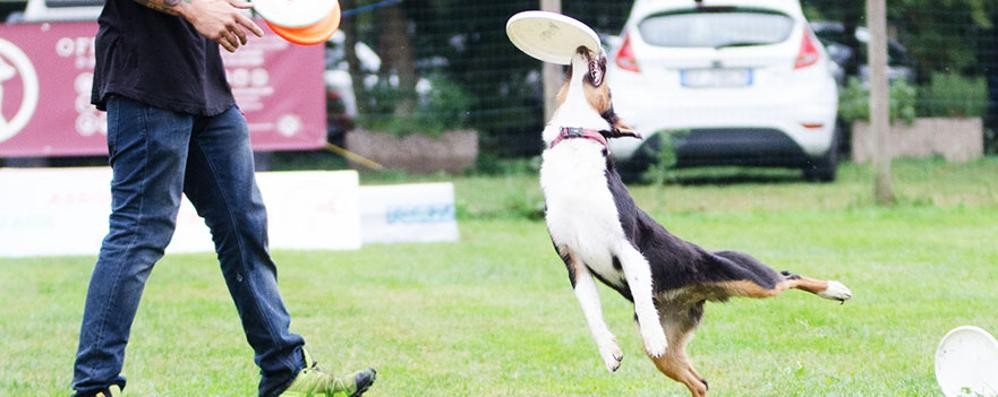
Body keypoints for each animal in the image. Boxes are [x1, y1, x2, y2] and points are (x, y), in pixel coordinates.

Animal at [544, 46, 856, 396]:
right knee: (700, 382)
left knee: (789, 276)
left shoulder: (626, 247)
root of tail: (694, 293)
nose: (590, 49)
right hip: (671, 352)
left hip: (755, 282)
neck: (574, 151)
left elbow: (639, 294)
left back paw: (835, 289)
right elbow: (592, 315)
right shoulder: (573, 260)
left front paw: (650, 336)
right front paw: (610, 352)